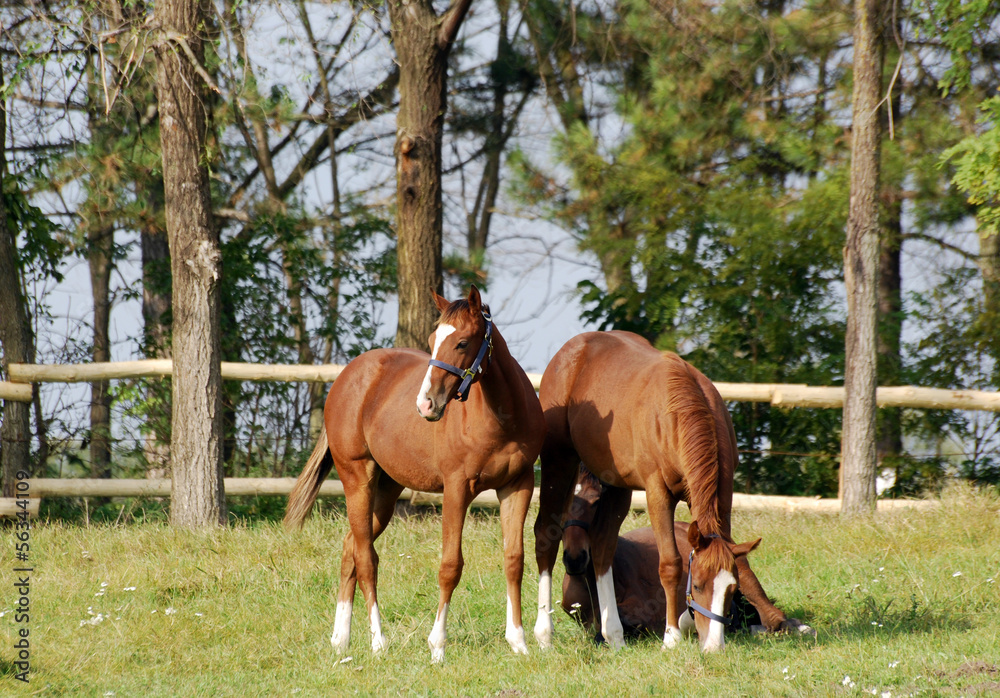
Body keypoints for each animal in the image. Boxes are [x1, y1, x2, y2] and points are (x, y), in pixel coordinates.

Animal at [284, 286, 546, 663]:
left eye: (463, 342)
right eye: (433, 340)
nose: (426, 405)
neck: (502, 418)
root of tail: (346, 377)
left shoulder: (517, 486)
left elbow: (514, 560)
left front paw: (519, 642)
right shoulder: (456, 489)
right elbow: (450, 566)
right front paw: (437, 646)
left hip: (386, 491)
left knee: (351, 548)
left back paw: (341, 639)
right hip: (357, 479)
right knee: (366, 558)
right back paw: (378, 642)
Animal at [533, 330, 764, 652]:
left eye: (732, 589)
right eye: (697, 585)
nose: (714, 645)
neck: (678, 412)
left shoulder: (723, 496)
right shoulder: (658, 494)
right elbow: (670, 564)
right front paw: (672, 636)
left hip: (616, 487)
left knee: (603, 548)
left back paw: (613, 635)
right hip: (559, 461)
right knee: (546, 536)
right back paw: (543, 634)